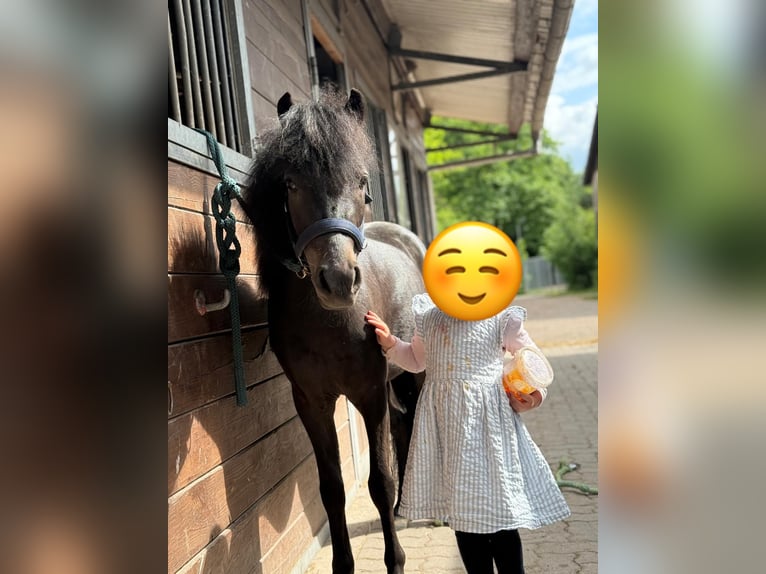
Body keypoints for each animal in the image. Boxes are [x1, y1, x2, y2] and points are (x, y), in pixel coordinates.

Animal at [241, 87, 426, 574]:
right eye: (290, 185)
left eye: (362, 183)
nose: (339, 280)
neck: (330, 322)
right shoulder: (313, 402)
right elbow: (333, 489)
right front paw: (344, 564)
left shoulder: (369, 392)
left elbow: (378, 480)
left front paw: (395, 561)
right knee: (403, 426)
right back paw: (404, 509)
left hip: (415, 375)